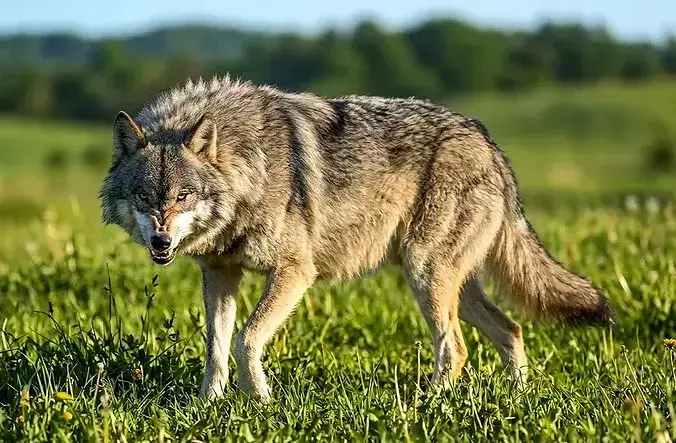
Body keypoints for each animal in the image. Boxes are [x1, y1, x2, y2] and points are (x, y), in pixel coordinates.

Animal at [100, 76, 613, 403]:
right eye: (145, 196)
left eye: (183, 195)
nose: (161, 243)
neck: (250, 165)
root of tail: (487, 141)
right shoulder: (221, 273)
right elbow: (216, 347)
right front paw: (206, 408)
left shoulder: (294, 272)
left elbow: (246, 340)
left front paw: (260, 401)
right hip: (451, 287)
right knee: (511, 331)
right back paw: (517, 398)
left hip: (426, 278)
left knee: (457, 348)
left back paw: (429, 406)